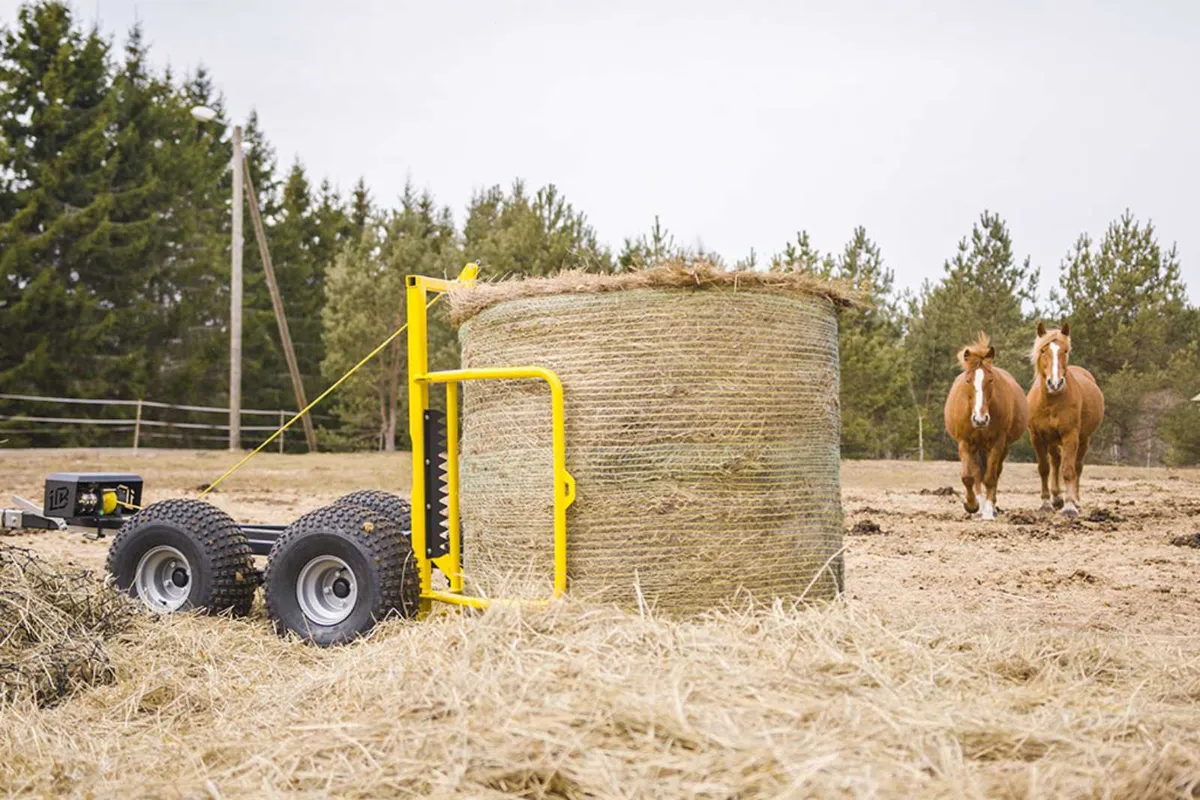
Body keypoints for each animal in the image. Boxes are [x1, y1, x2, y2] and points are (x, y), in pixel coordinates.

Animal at [940, 331, 1027, 520]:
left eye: (991, 380)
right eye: (967, 381)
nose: (980, 419)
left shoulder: (998, 443)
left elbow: (990, 477)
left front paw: (988, 511)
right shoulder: (964, 442)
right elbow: (968, 477)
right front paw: (972, 506)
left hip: (1002, 447)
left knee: (994, 473)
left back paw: (990, 507)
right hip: (976, 447)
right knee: (977, 474)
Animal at [1032, 323, 1104, 520]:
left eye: (1065, 350)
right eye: (1043, 350)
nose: (1055, 383)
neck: (1051, 401)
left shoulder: (1070, 436)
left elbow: (1068, 470)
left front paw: (1070, 506)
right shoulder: (1037, 437)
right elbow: (1044, 468)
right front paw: (1045, 503)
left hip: (1084, 439)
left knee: (1077, 466)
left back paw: (1075, 500)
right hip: (1051, 440)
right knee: (1055, 462)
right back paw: (1056, 498)